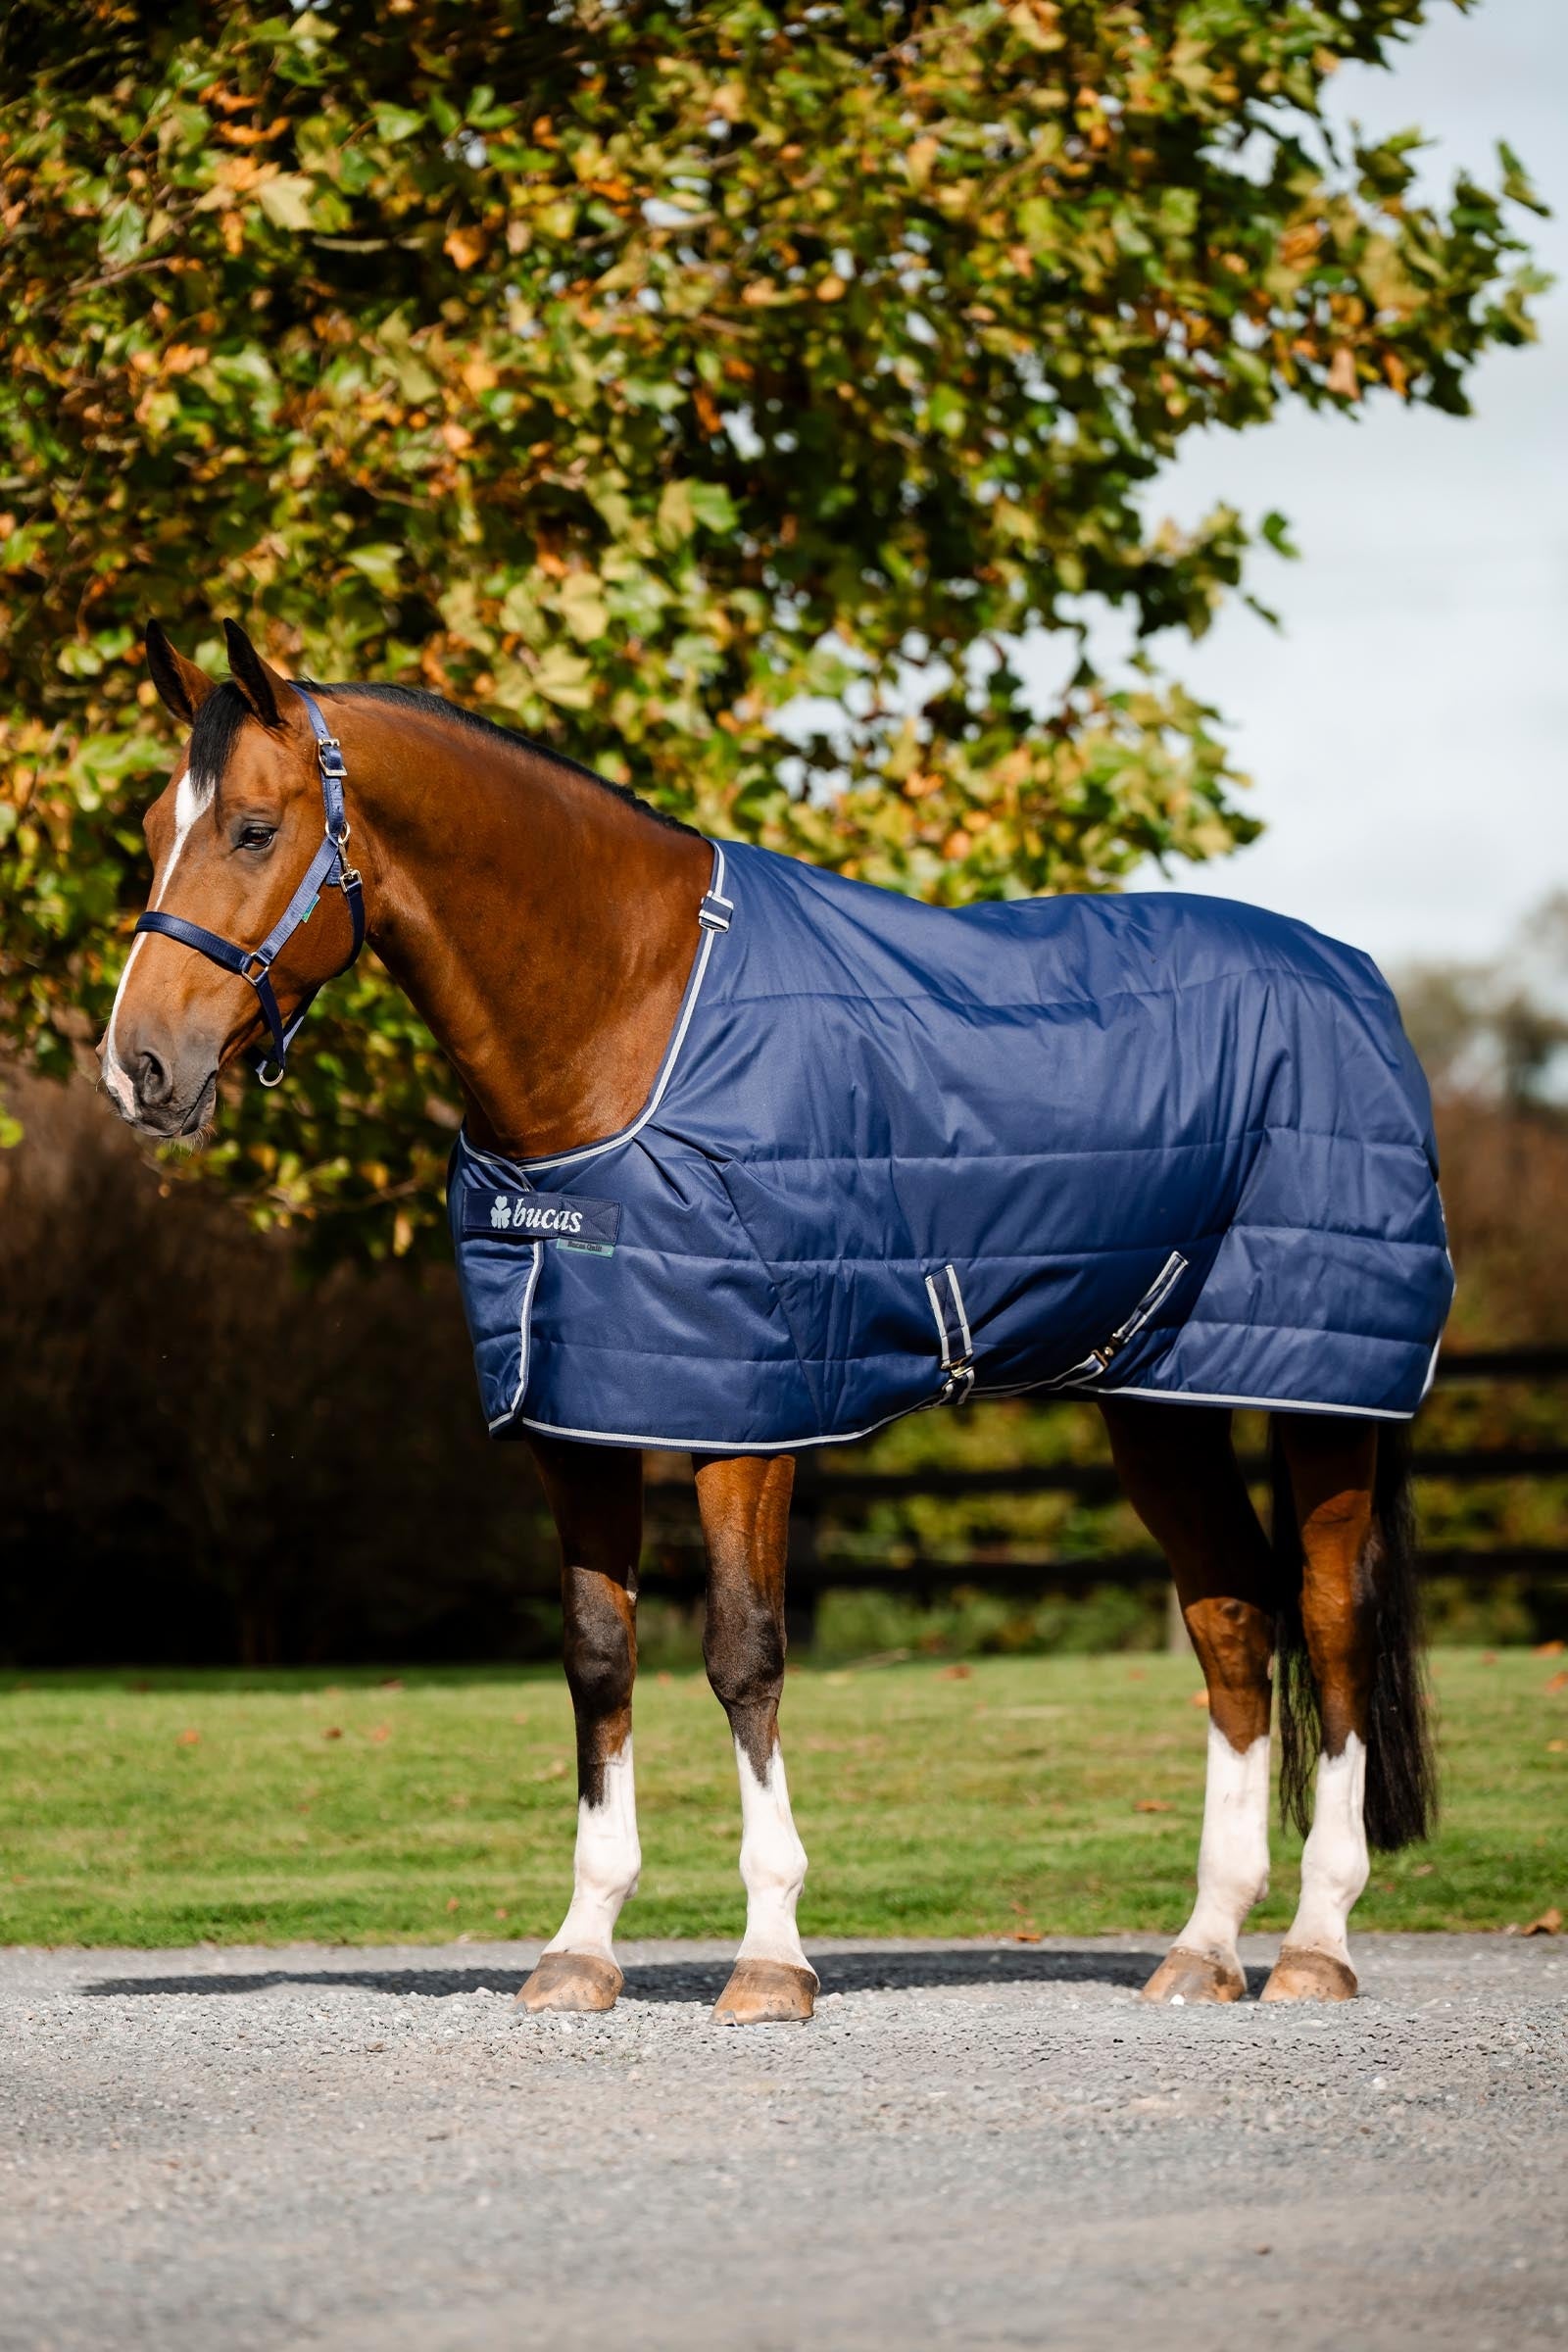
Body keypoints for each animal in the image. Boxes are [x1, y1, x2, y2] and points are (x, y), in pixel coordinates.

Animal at [99, 619, 1444, 2023]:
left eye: (254, 829)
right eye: (147, 826)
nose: (137, 1068)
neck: (625, 1019)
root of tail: (1353, 975)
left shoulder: (749, 1417)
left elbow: (744, 1657)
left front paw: (770, 1956)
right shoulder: (577, 1414)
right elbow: (598, 1659)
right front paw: (579, 1949)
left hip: (1321, 1396)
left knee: (1330, 1620)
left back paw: (1316, 1943)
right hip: (1156, 1399)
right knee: (1232, 1617)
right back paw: (1204, 1945)